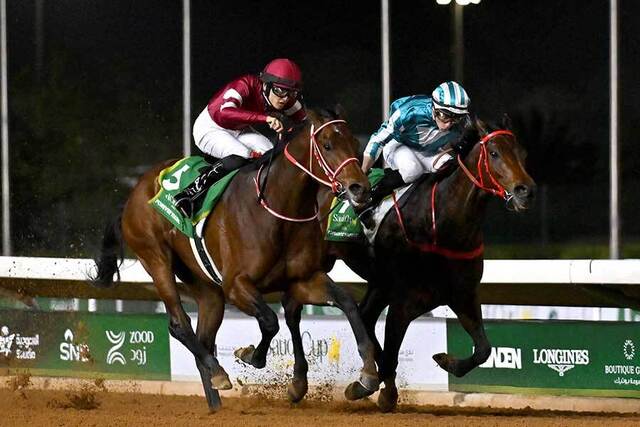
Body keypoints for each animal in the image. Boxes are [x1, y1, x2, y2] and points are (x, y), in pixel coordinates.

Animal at [92, 109, 378, 412]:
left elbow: (346, 303)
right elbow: (270, 321)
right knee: (179, 324)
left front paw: (367, 377)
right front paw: (252, 355)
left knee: (204, 338)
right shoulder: (236, 285)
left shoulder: (302, 279)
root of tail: (133, 193)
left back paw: (216, 401)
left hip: (206, 288)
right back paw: (219, 373)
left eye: (355, 145)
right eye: (327, 145)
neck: (277, 209)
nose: (360, 188)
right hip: (156, 259)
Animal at [292, 115, 536, 412]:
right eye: (494, 153)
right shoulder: (404, 300)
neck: (442, 224)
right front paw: (373, 389)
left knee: (365, 315)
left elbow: (483, 349)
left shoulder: (462, 295)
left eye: (523, 153)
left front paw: (445, 360)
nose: (525, 191)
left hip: (379, 282)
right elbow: (390, 354)